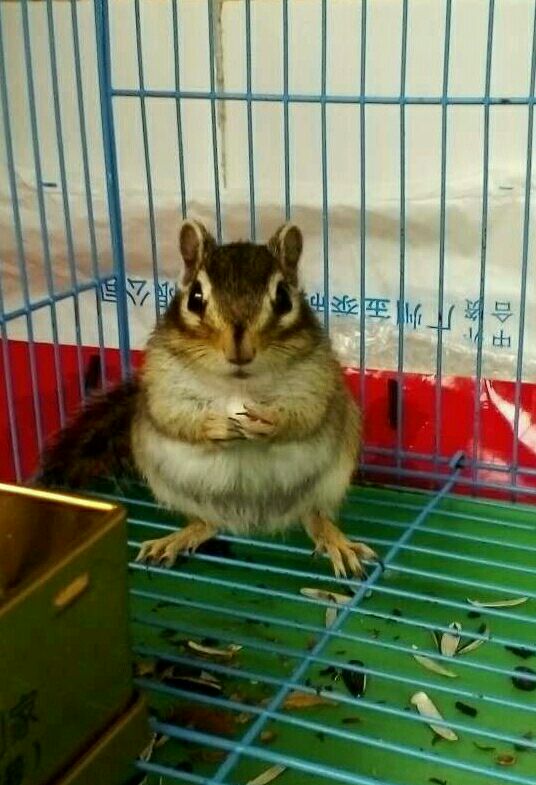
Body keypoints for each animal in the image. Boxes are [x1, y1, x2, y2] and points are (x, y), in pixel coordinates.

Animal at [39, 220, 377, 578]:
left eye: (284, 298)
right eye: (195, 298)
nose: (240, 350)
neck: (237, 387)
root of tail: (251, 523)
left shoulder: (316, 380)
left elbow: (306, 415)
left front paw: (269, 422)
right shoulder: (162, 383)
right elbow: (174, 417)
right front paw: (213, 427)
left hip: (330, 481)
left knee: (312, 515)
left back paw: (336, 542)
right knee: (208, 523)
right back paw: (176, 538)